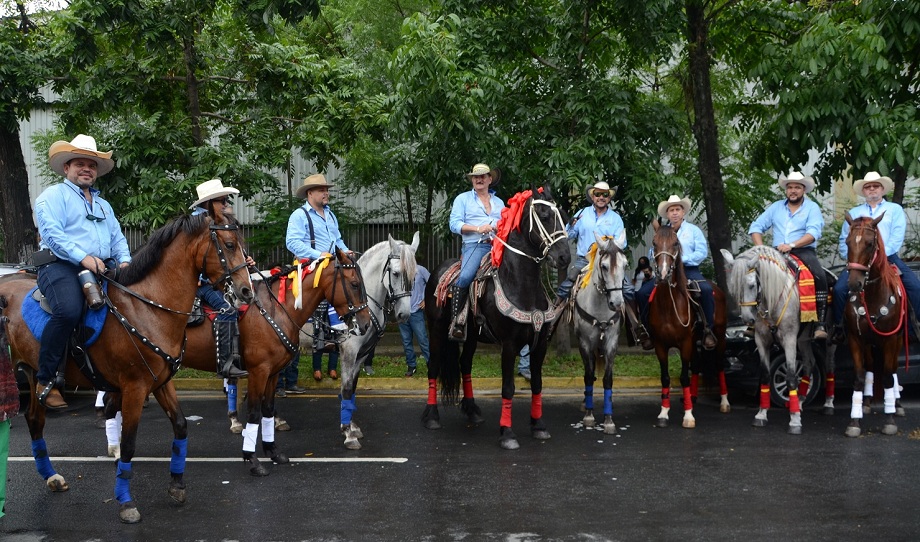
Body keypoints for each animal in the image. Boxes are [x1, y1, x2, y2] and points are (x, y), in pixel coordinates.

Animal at [0, 210, 252, 524]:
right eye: (229, 244)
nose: (246, 291)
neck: (147, 308)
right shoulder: (134, 387)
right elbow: (129, 443)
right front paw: (125, 502)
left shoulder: (161, 381)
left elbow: (181, 427)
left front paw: (177, 485)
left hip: (34, 374)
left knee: (35, 420)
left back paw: (51, 477)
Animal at [644, 221, 728, 430]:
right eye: (654, 243)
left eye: (676, 243)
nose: (663, 273)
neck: (668, 305)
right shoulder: (660, 345)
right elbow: (665, 377)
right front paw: (664, 413)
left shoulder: (685, 343)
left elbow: (683, 377)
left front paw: (688, 416)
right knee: (697, 365)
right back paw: (694, 397)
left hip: (719, 336)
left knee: (719, 365)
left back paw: (724, 402)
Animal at [840, 215, 904, 440]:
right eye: (847, 242)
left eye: (869, 244)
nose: (854, 284)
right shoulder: (855, 338)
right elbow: (859, 377)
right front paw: (854, 421)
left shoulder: (891, 339)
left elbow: (887, 377)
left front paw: (890, 420)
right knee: (869, 367)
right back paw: (866, 403)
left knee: (893, 370)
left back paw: (897, 404)